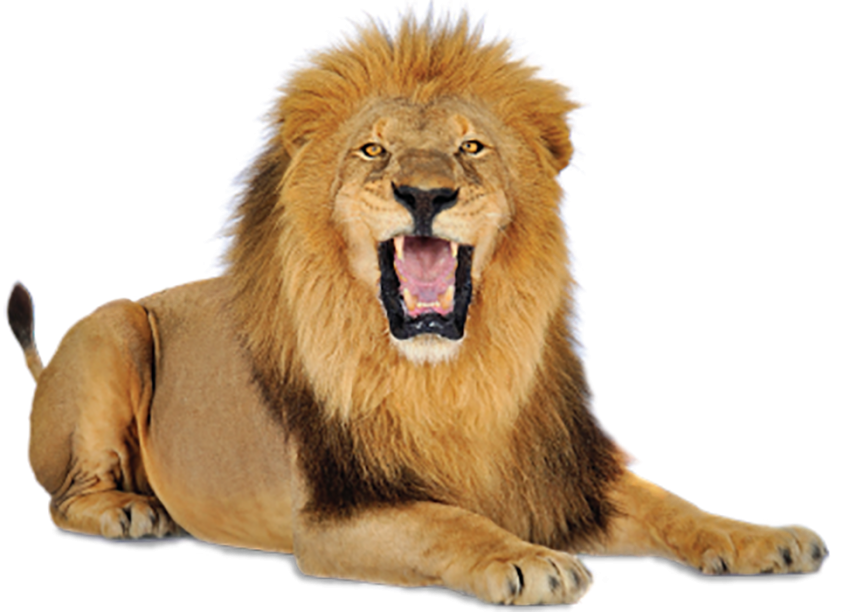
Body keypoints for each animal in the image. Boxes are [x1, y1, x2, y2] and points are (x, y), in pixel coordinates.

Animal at [4, 2, 829, 606]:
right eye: (374, 151)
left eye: (472, 148)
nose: (426, 194)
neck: (450, 375)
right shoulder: (335, 516)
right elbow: (446, 522)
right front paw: (530, 561)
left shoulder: (555, 475)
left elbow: (672, 504)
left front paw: (767, 537)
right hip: (114, 326)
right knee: (61, 497)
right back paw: (131, 512)